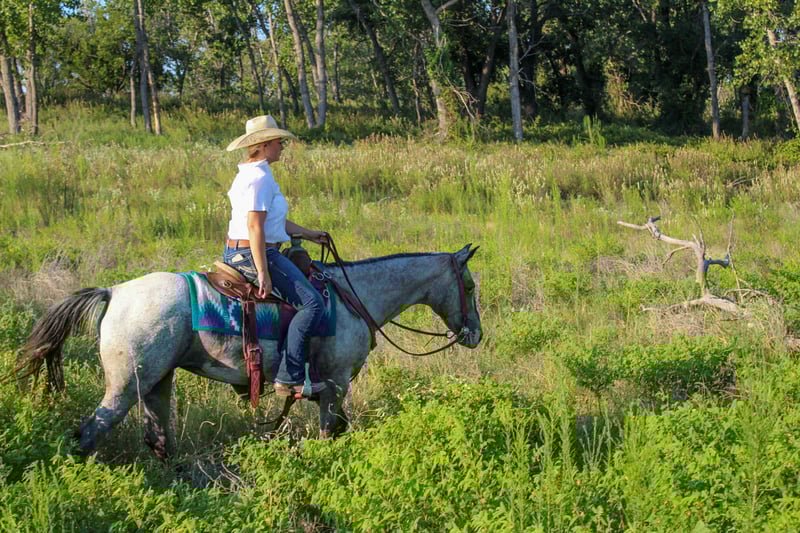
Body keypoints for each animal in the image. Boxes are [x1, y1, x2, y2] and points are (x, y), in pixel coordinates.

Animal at [15, 244, 481, 459]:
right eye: (471, 285)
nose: (475, 334)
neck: (354, 298)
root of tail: (113, 293)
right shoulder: (334, 386)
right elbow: (330, 433)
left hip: (156, 382)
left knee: (158, 438)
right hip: (125, 386)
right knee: (90, 432)